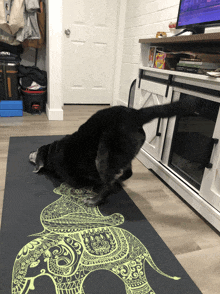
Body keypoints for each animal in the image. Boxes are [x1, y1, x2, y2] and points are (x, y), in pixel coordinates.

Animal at [28, 97, 199, 206]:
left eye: (36, 151)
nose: (29, 153)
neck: (52, 151)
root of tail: (135, 114)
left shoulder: (73, 180)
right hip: (123, 154)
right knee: (126, 173)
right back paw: (117, 180)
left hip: (103, 156)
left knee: (108, 185)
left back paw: (95, 200)